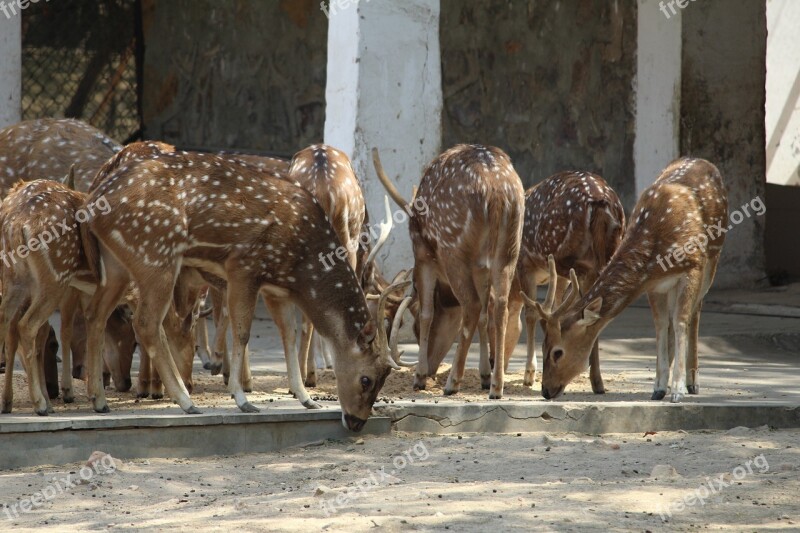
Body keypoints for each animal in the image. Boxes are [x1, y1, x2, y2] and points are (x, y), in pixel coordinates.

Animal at [81, 148, 400, 430]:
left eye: (384, 378)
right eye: (366, 379)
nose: (357, 423)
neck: (301, 267)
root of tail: (92, 205)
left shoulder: (275, 289)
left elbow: (288, 334)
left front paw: (306, 398)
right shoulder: (244, 266)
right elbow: (243, 331)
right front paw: (242, 398)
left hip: (117, 264)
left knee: (96, 315)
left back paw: (99, 400)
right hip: (156, 255)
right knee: (146, 323)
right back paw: (186, 401)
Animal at [374, 143, 524, 396]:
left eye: (414, 327)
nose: (432, 369)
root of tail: (495, 191)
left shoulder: (423, 252)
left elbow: (427, 311)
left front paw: (419, 377)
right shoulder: (481, 266)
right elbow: (484, 315)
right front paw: (484, 375)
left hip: (452, 247)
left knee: (472, 305)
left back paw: (452, 382)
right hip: (509, 248)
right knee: (498, 306)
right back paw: (496, 386)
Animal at [510, 172, 628, 388]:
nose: (493, 362)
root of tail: (601, 202)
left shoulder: (525, 262)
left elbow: (530, 313)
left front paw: (529, 374)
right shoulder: (556, 276)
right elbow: (555, 306)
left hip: (568, 255)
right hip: (612, 245)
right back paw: (597, 380)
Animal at [532, 157, 732, 400]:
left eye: (557, 352)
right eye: (542, 347)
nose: (545, 390)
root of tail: (703, 161)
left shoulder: (692, 266)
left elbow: (681, 321)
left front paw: (677, 390)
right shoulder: (654, 283)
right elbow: (661, 324)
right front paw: (658, 387)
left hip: (713, 255)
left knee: (695, 311)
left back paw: (692, 383)